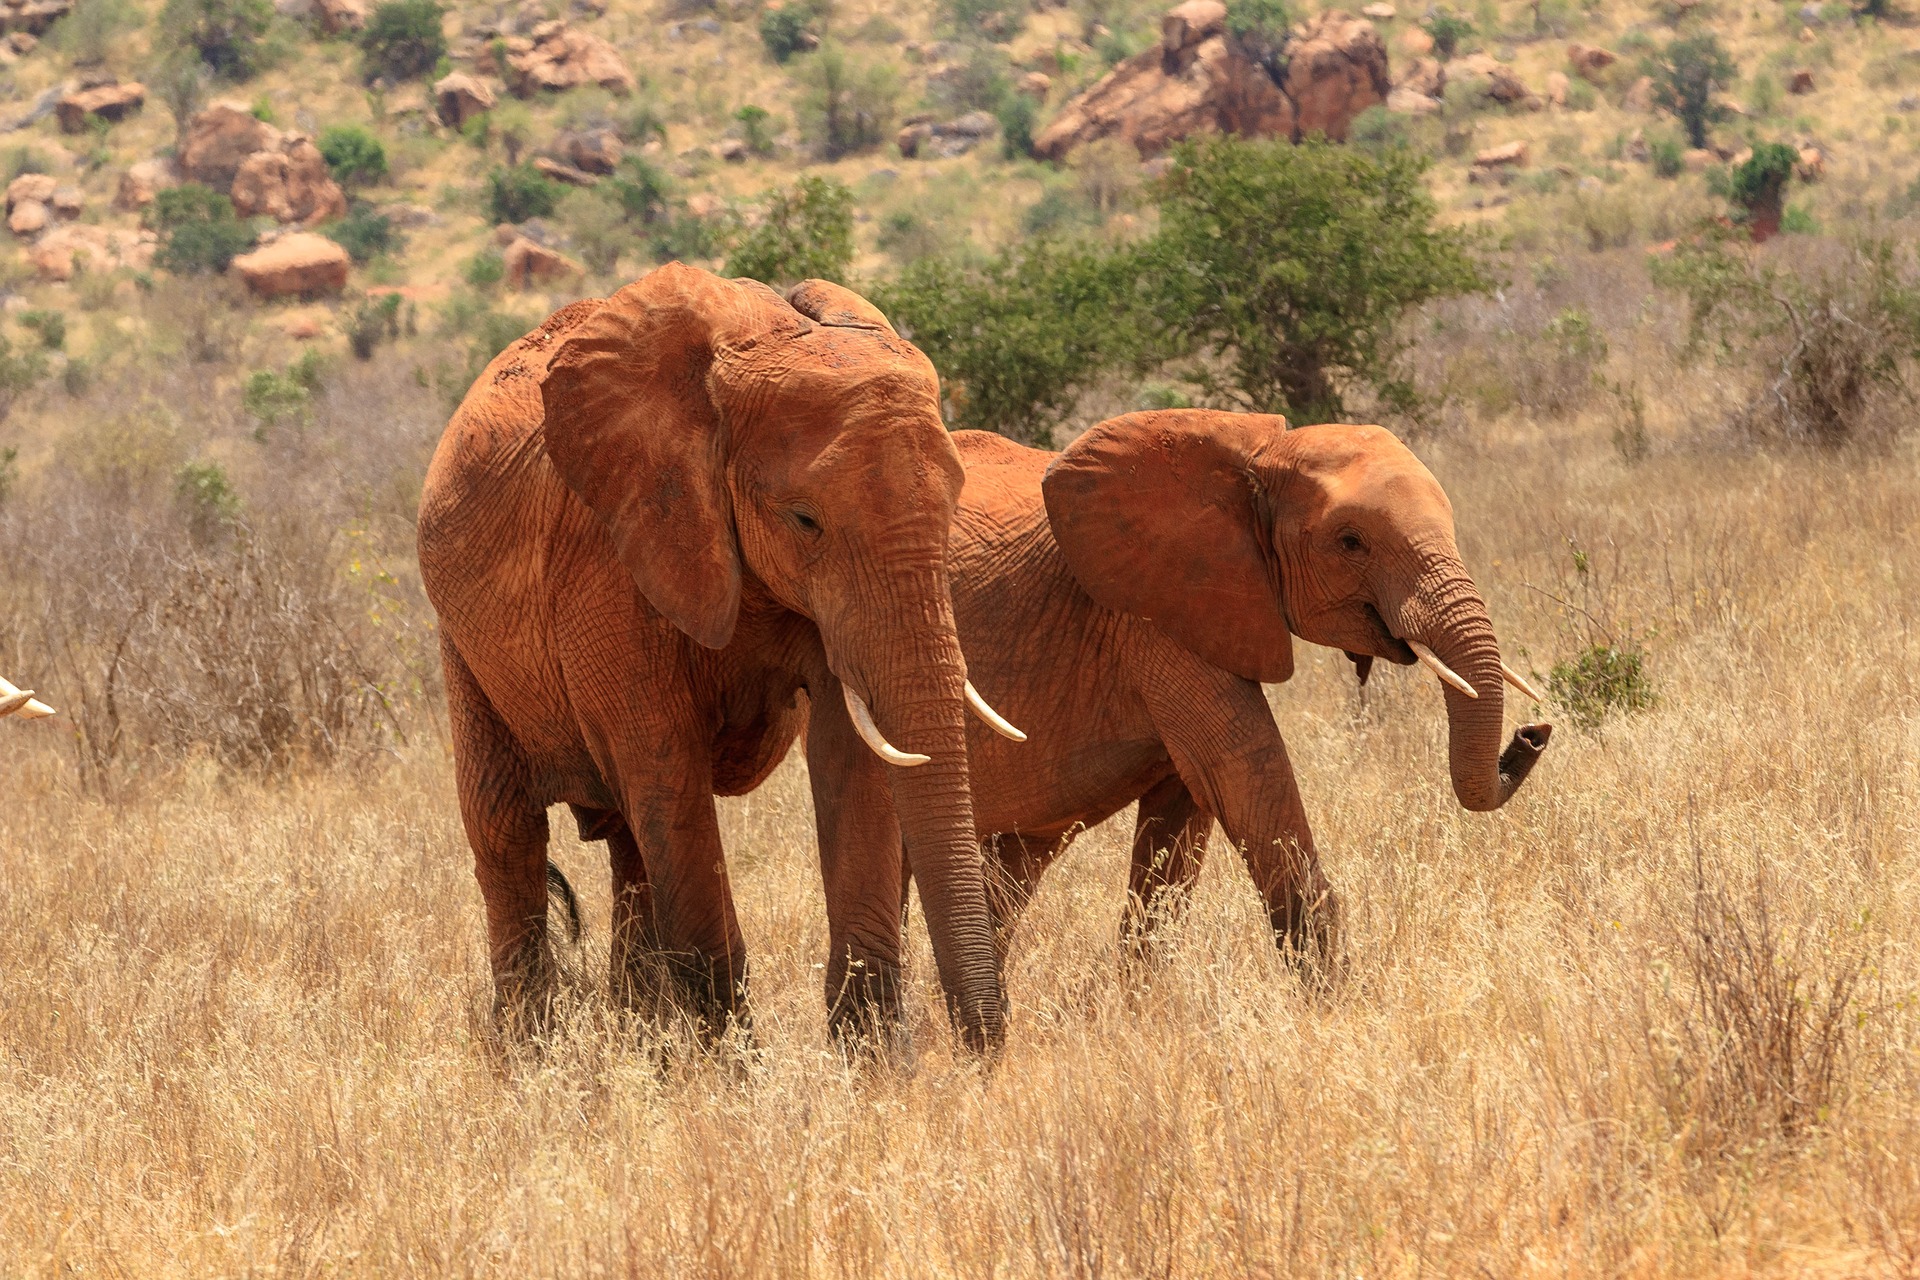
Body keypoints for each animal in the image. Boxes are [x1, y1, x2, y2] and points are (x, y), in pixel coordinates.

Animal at [417, 264, 1017, 1050]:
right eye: (805, 520)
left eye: (954, 506)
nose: (983, 1054)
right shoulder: (610, 552)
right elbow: (667, 764)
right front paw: (733, 1067)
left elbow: (852, 755)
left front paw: (876, 1063)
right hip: (461, 643)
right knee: (508, 830)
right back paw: (531, 1050)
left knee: (630, 842)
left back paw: (642, 1039)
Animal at [884, 410, 1553, 968]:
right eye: (1350, 542)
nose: (1533, 733)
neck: (1258, 457)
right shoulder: (1158, 617)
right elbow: (1243, 772)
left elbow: (1181, 829)